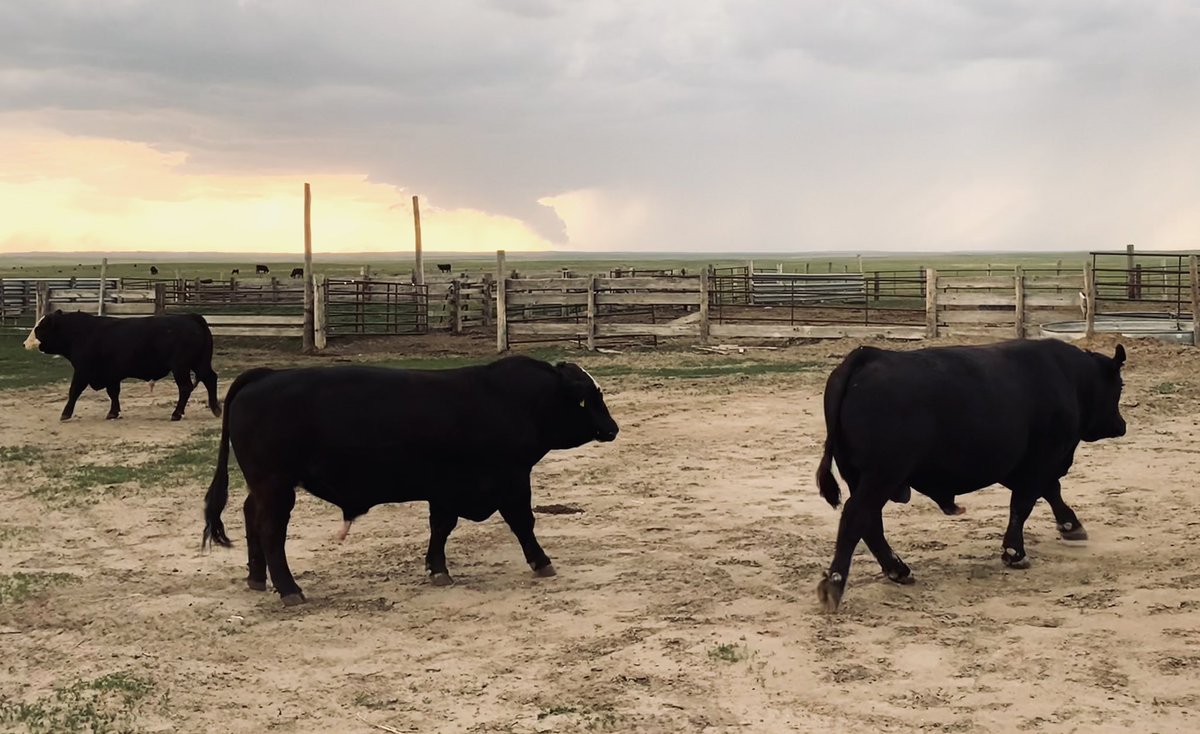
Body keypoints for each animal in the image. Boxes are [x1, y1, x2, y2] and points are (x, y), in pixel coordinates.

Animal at [24, 311, 222, 422]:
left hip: (181, 367)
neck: (80, 332)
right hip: (199, 364)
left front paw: (65, 413)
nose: (25, 343)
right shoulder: (110, 374)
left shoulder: (83, 371)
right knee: (210, 379)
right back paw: (216, 409)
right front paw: (113, 412)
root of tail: (191, 317)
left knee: (186, 387)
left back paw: (177, 413)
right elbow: (113, 393)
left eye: (39, 328)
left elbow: (74, 391)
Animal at [201, 356, 619, 606]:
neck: (511, 400)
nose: (613, 428)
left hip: (263, 487)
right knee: (271, 530)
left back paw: (257, 577)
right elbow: (522, 523)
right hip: (276, 487)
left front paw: (437, 568)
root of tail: (265, 376)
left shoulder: (447, 488)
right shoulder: (512, 479)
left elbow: (441, 528)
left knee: (250, 519)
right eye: (589, 399)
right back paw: (289, 589)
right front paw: (541, 561)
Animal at [814, 339, 1127, 613]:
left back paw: (898, 570)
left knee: (870, 523)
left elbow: (1050, 491)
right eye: (1119, 386)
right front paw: (1015, 553)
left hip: (862, 477)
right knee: (857, 516)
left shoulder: (1026, 465)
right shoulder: (1043, 458)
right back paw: (836, 584)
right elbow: (1024, 504)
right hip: (882, 475)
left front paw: (1070, 525)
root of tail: (868, 356)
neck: (1070, 378)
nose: (1121, 425)